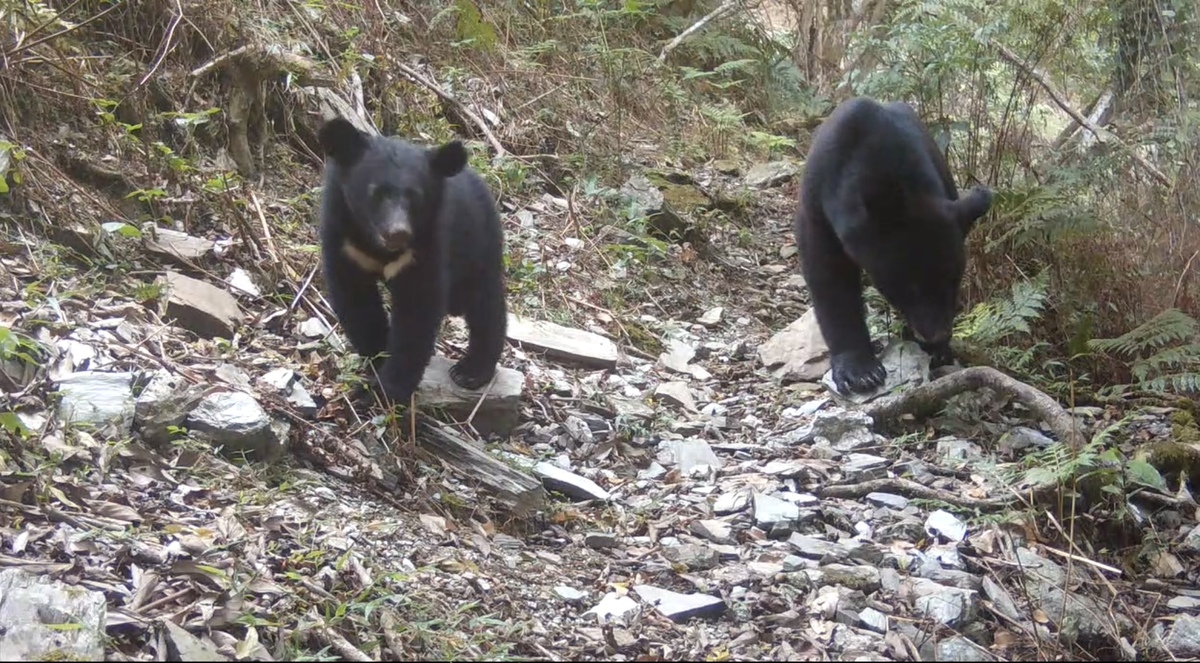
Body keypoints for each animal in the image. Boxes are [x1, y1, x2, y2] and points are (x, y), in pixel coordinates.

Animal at [316, 117, 508, 405]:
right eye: (376, 193)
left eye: (415, 196)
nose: (398, 233)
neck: (377, 247)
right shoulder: (343, 239)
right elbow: (358, 303)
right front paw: (377, 358)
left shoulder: (426, 245)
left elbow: (416, 312)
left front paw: (386, 390)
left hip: (477, 241)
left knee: (484, 303)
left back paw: (470, 371)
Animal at [792, 97, 994, 395]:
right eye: (908, 287)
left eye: (954, 281)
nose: (936, 334)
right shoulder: (818, 204)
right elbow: (829, 276)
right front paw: (861, 371)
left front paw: (940, 351)